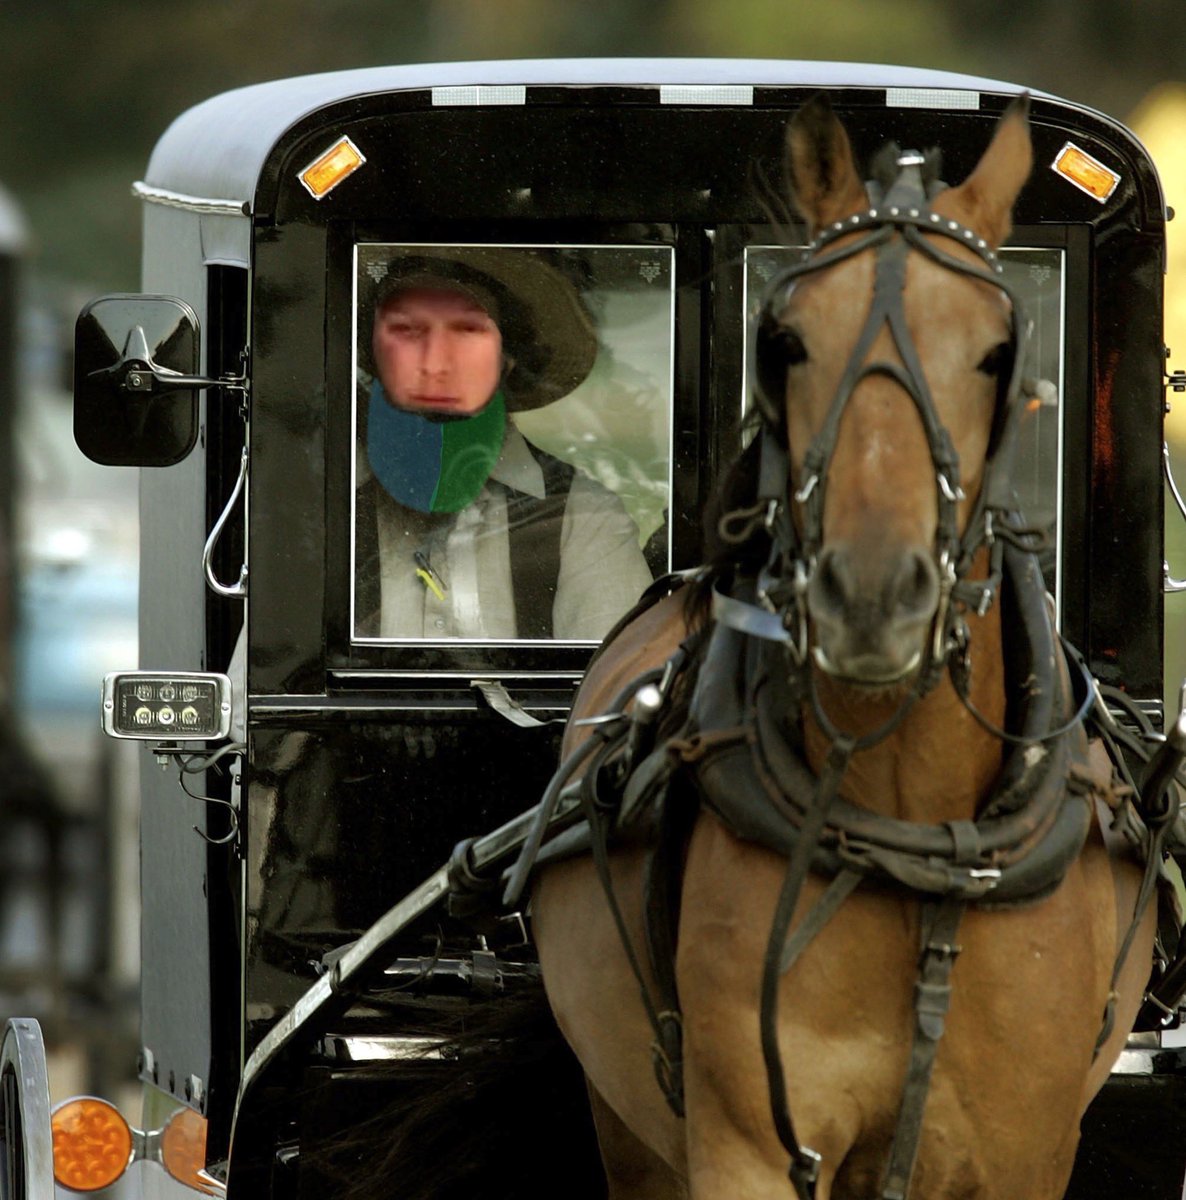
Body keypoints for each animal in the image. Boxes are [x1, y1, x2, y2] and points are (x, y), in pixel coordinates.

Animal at [530, 97, 1159, 1200]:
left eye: (997, 351)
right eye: (784, 341)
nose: (870, 597)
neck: (914, 838)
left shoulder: (1026, 1151)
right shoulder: (751, 1146)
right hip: (631, 1128)